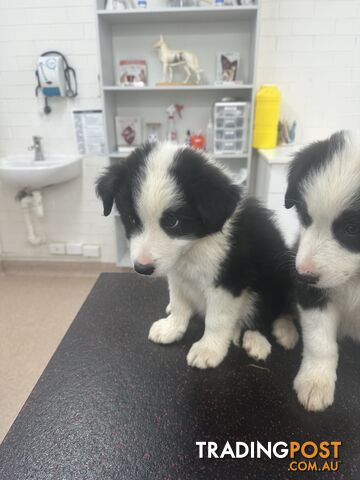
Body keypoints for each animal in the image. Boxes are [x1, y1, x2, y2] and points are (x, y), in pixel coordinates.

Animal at [96, 142, 298, 368]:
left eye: (172, 222)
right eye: (131, 219)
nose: (142, 268)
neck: (193, 248)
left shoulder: (228, 280)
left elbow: (217, 319)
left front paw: (209, 349)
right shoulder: (177, 274)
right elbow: (179, 303)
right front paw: (171, 328)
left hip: (276, 279)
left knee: (274, 312)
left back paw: (270, 336)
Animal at [286, 129, 360, 410]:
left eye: (352, 229)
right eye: (304, 216)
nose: (302, 275)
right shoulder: (312, 296)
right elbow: (320, 342)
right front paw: (315, 382)